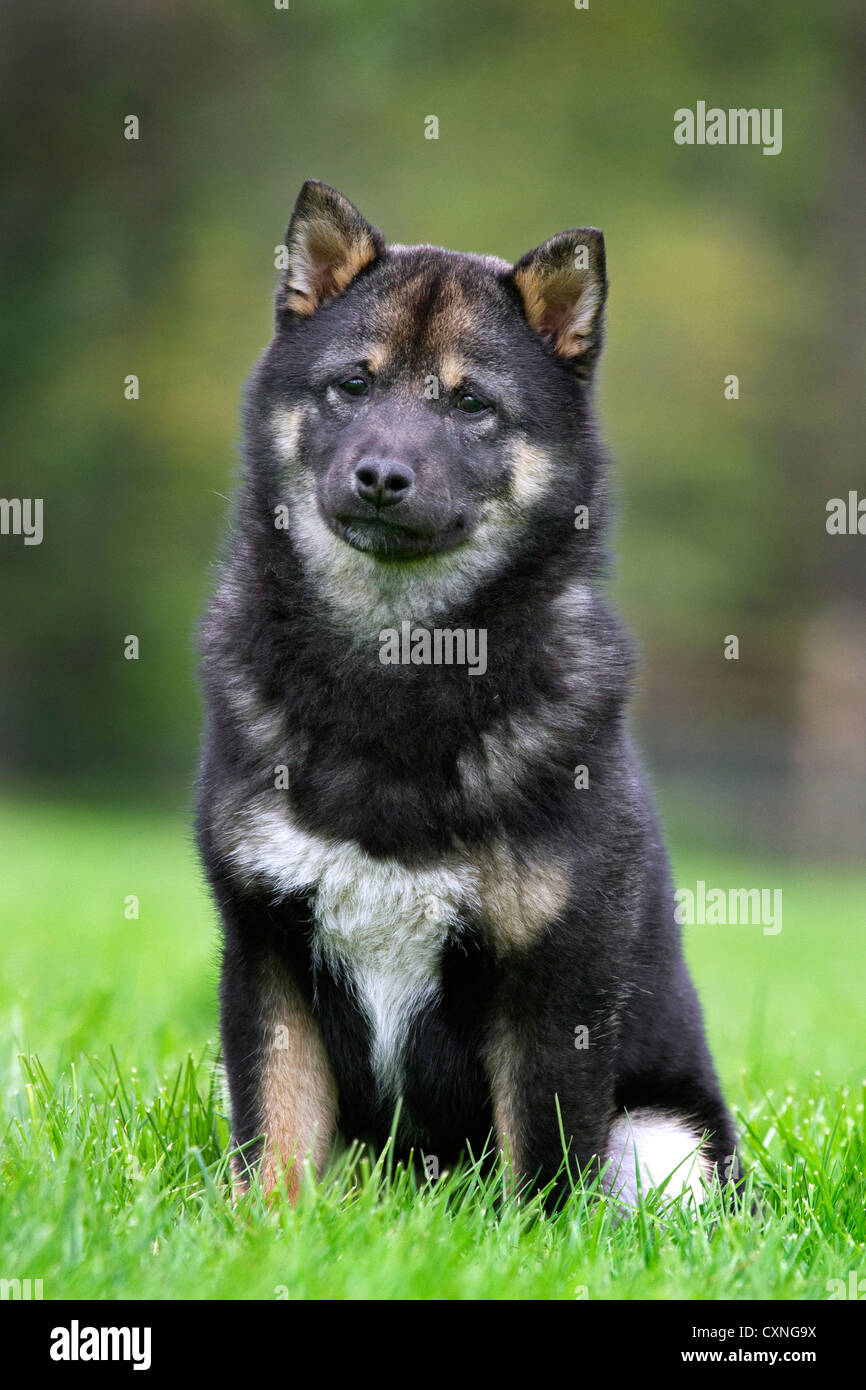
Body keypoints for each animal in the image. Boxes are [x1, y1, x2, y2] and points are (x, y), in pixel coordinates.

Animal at [195, 182, 739, 1206]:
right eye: (354, 385)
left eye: (473, 404)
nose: (380, 476)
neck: (400, 668)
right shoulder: (265, 952)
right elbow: (274, 1143)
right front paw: (259, 1230)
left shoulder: (555, 986)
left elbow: (544, 1170)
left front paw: (535, 1239)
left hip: (665, 1139)